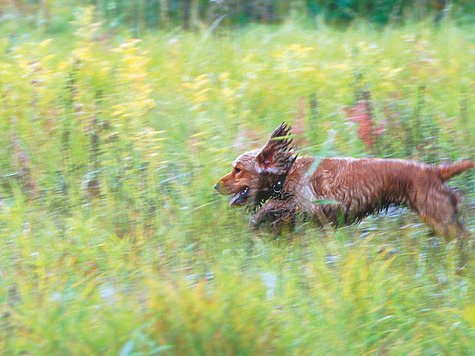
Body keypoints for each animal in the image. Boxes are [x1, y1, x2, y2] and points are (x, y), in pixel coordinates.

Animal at [215, 121, 472, 238]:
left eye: (237, 170)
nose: (216, 185)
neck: (287, 173)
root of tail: (434, 170)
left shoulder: (309, 204)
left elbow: (272, 206)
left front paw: (258, 219)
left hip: (439, 215)